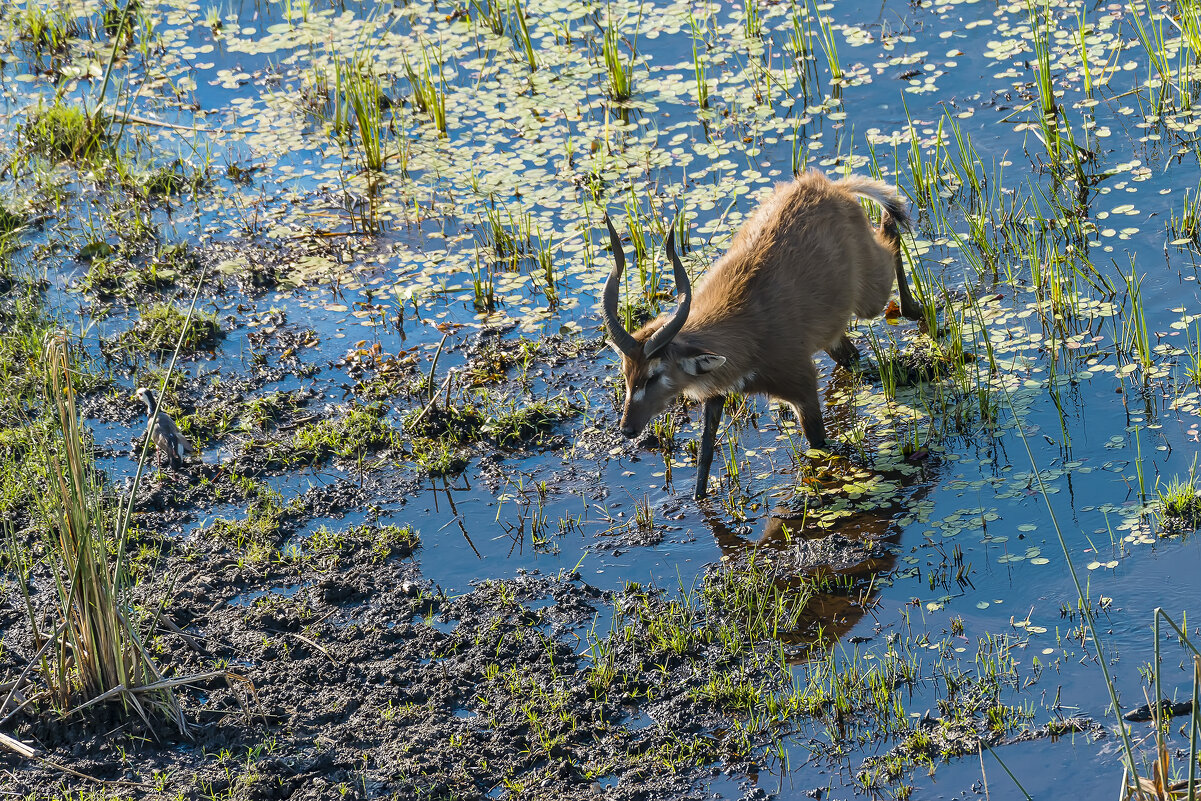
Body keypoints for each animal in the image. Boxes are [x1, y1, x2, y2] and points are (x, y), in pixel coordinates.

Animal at [605, 169, 922, 497]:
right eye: (626, 374)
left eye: (654, 374)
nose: (627, 429)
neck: (746, 330)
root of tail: (829, 186)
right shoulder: (717, 396)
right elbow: (704, 458)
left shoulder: (803, 388)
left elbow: (818, 444)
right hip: (836, 335)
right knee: (851, 355)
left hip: (870, 300)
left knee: (890, 231)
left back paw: (916, 310)